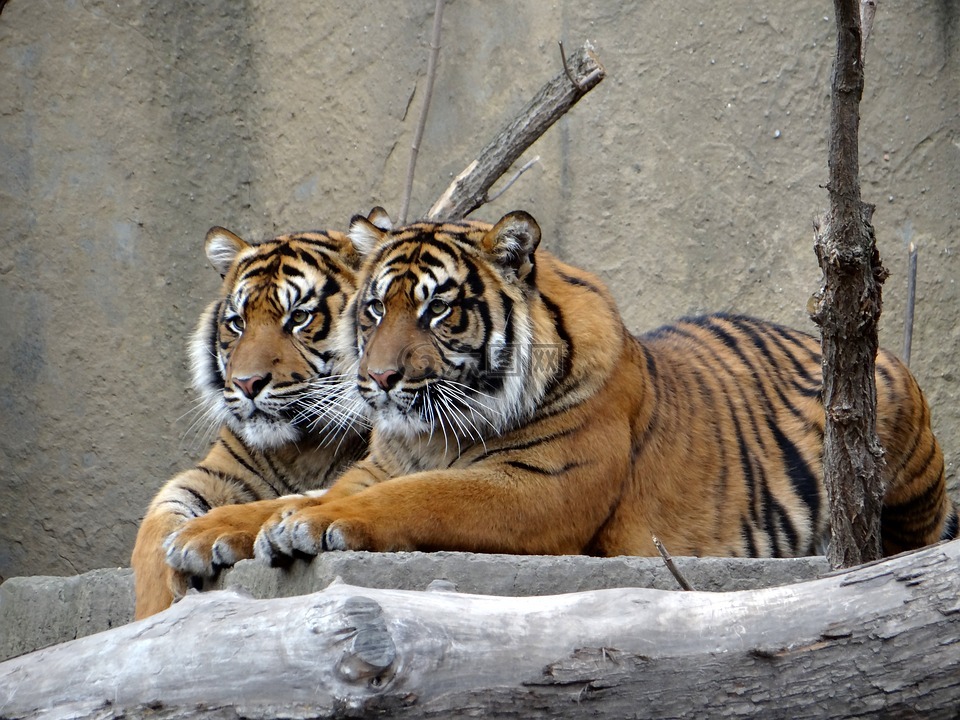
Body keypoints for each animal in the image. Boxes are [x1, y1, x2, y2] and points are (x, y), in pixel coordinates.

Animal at [130, 225, 369, 619]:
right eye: (238, 323)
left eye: (299, 318)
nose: (247, 383)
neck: (302, 447)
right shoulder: (218, 472)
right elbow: (156, 526)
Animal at [182, 209, 955, 567]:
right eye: (373, 310)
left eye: (436, 310)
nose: (376, 379)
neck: (434, 433)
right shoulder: (373, 466)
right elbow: (285, 497)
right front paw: (205, 532)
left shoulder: (540, 488)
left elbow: (416, 497)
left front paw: (309, 525)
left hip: (905, 450)